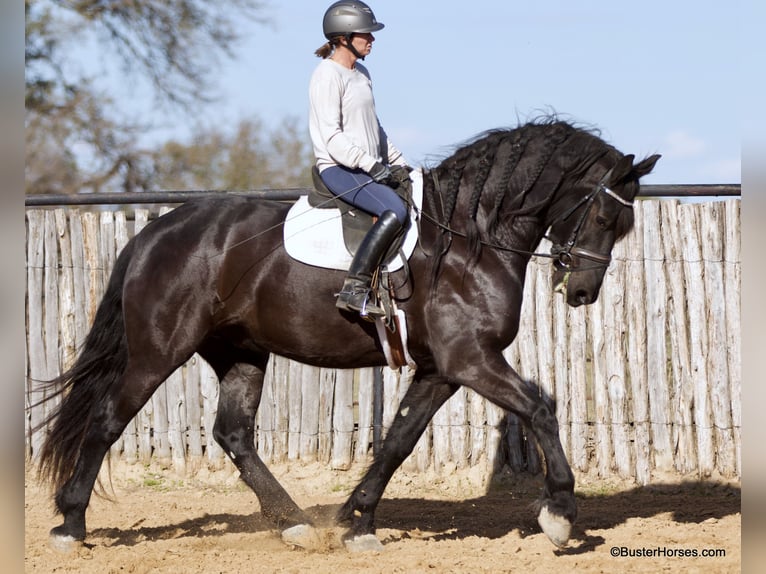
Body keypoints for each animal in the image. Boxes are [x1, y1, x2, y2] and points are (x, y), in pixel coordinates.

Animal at [36, 120, 660, 552]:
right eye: (604, 218)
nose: (583, 293)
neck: (469, 239)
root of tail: (154, 233)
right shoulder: (471, 360)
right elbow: (540, 407)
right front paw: (559, 513)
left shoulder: (442, 370)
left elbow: (399, 440)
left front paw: (357, 522)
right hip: (158, 351)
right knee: (107, 420)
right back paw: (71, 524)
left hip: (241, 353)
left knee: (233, 433)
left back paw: (294, 526)